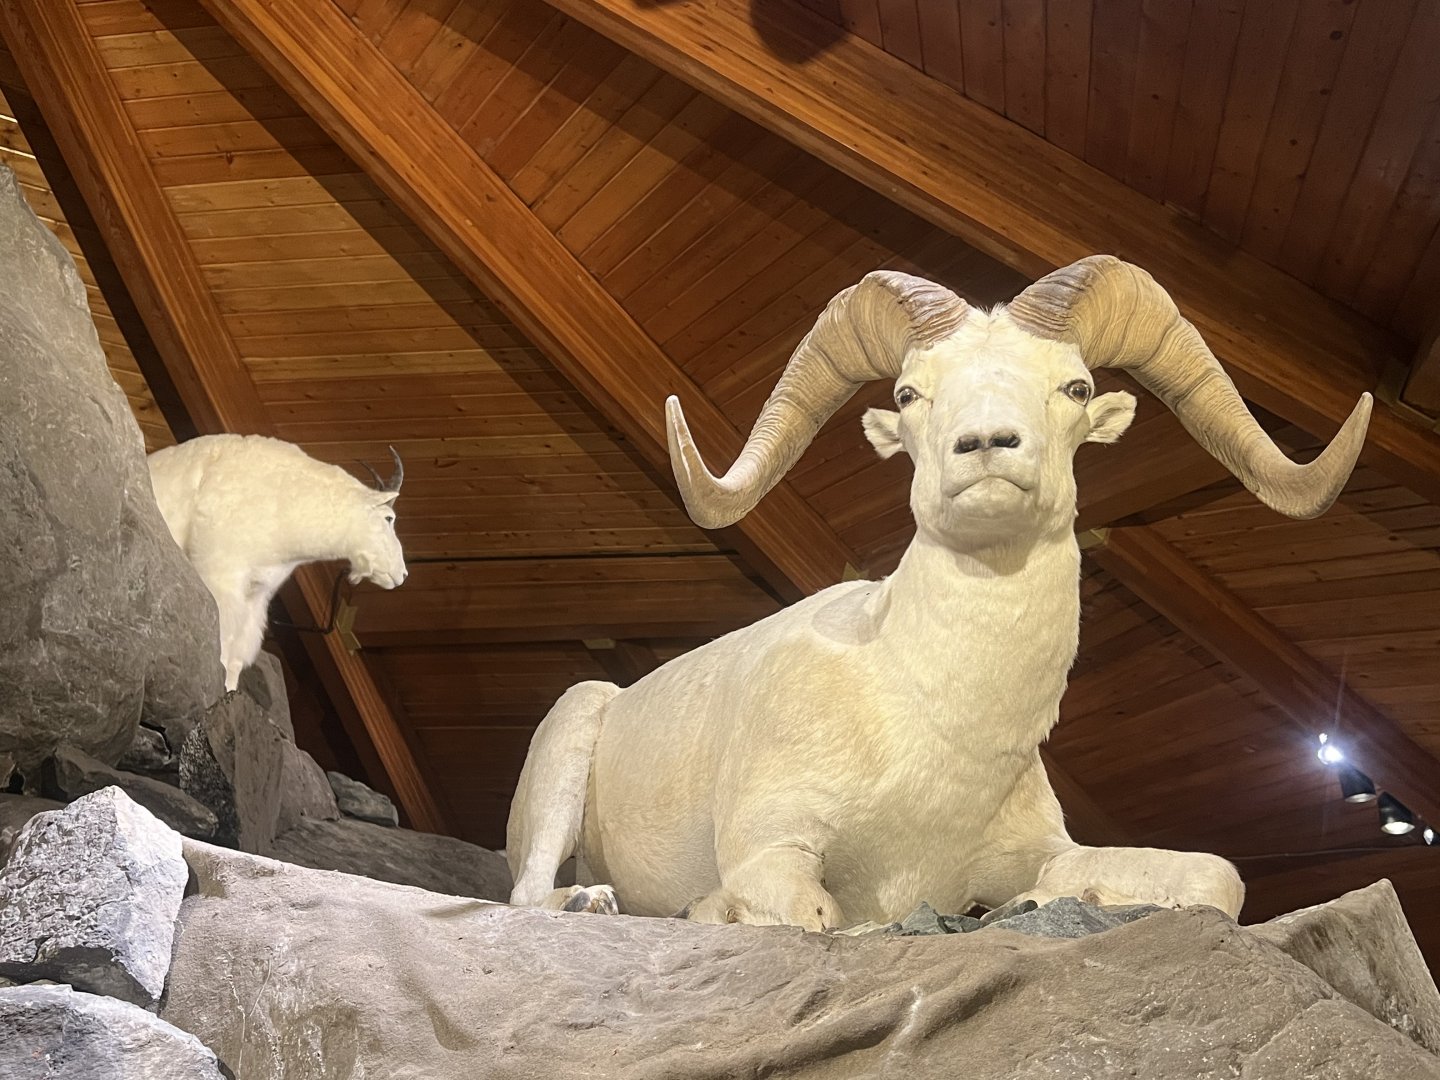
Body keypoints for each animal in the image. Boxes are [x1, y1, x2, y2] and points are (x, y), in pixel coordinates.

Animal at [147, 433, 408, 692]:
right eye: (389, 518)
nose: (402, 574)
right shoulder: (221, 570)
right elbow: (224, 623)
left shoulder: (257, 593)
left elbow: (242, 640)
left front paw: (230, 682)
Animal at [505, 255, 1371, 928]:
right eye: (910, 393)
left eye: (1076, 387)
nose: (986, 445)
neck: (934, 731)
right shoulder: (768, 848)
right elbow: (816, 916)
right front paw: (706, 909)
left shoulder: (1041, 851)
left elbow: (1215, 877)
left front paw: (1038, 905)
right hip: (567, 751)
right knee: (524, 893)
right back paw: (591, 901)